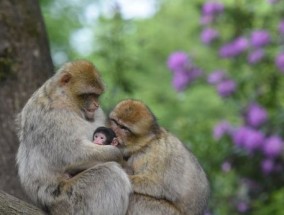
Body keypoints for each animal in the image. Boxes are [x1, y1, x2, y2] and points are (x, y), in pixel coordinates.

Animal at [15, 59, 131, 214]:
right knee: (110, 174)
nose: (96, 105)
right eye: (88, 94)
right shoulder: (54, 117)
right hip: (69, 200)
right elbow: (71, 153)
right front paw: (117, 154)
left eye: (97, 95)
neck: (65, 99)